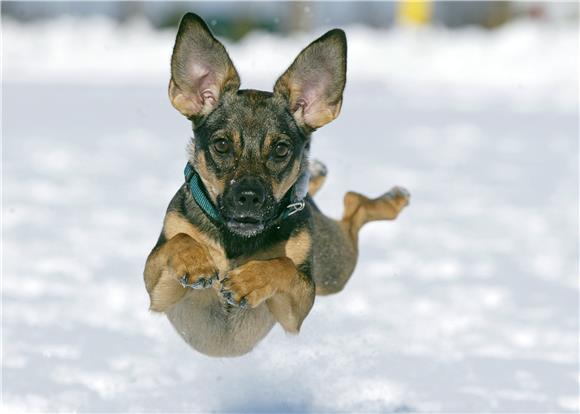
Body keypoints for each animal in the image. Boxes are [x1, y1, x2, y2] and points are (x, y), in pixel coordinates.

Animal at [143, 12, 410, 356]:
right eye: (221, 145)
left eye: (281, 149)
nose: (249, 197)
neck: (236, 241)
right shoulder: (159, 293)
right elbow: (178, 240)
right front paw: (196, 261)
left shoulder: (295, 312)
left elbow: (283, 264)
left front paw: (248, 282)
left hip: (333, 265)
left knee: (354, 208)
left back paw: (391, 196)